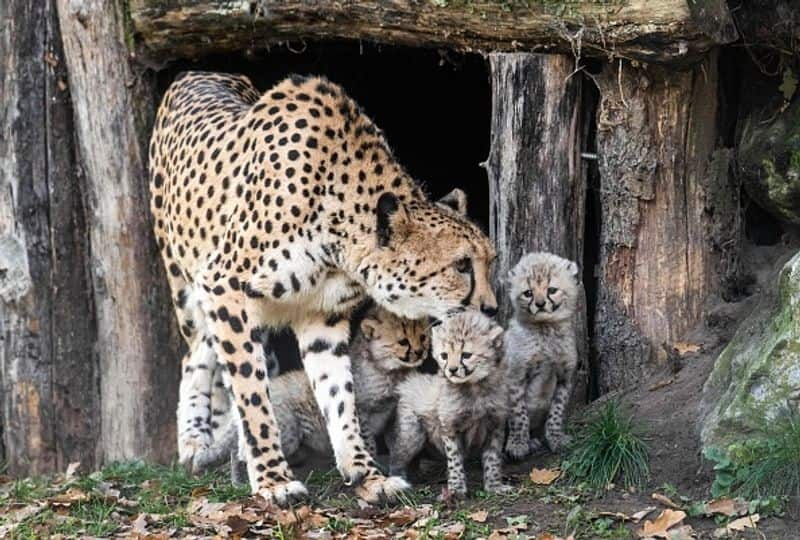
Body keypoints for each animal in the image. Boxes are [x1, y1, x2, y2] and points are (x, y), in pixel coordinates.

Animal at [148, 69, 496, 504]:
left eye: (490, 260)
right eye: (462, 265)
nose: (491, 308)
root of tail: (197, 72)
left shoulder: (321, 315)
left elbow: (339, 396)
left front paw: (366, 474)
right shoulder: (224, 286)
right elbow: (252, 394)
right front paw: (273, 479)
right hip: (189, 288)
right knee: (196, 356)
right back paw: (196, 440)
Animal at [504, 253, 580, 460]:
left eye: (552, 290)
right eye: (528, 293)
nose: (539, 304)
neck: (546, 328)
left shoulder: (565, 377)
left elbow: (556, 412)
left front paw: (555, 438)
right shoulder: (515, 377)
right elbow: (519, 415)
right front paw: (518, 444)